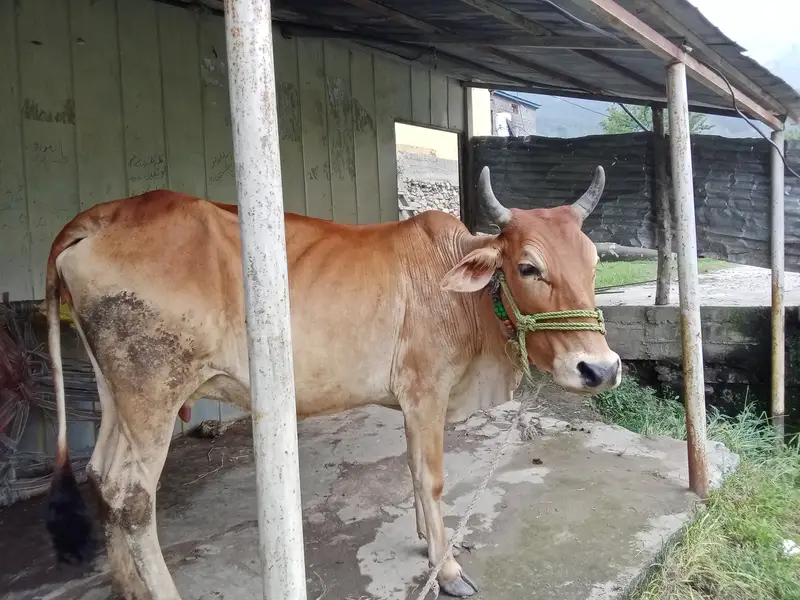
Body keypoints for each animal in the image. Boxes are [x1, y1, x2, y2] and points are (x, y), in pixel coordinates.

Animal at [45, 165, 620, 599]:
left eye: (594, 262)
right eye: (528, 267)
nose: (601, 369)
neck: (464, 297)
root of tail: (100, 215)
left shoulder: (411, 402)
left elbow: (413, 473)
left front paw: (425, 541)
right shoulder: (425, 391)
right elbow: (431, 478)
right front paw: (447, 568)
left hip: (117, 393)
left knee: (101, 475)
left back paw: (128, 586)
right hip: (153, 392)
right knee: (132, 494)